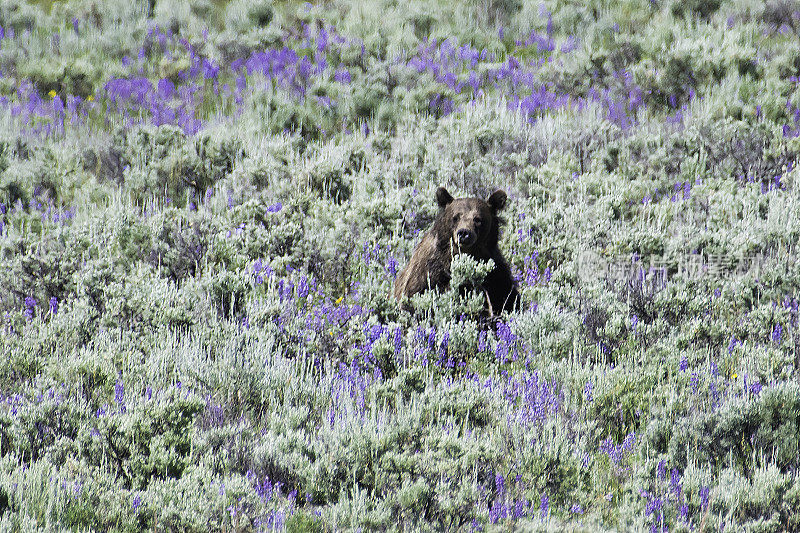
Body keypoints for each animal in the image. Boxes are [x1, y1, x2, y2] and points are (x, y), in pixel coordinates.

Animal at [392, 186, 520, 314]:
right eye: (456, 217)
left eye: (477, 219)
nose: (464, 233)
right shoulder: (428, 270)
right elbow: (416, 295)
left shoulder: (495, 271)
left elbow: (506, 297)